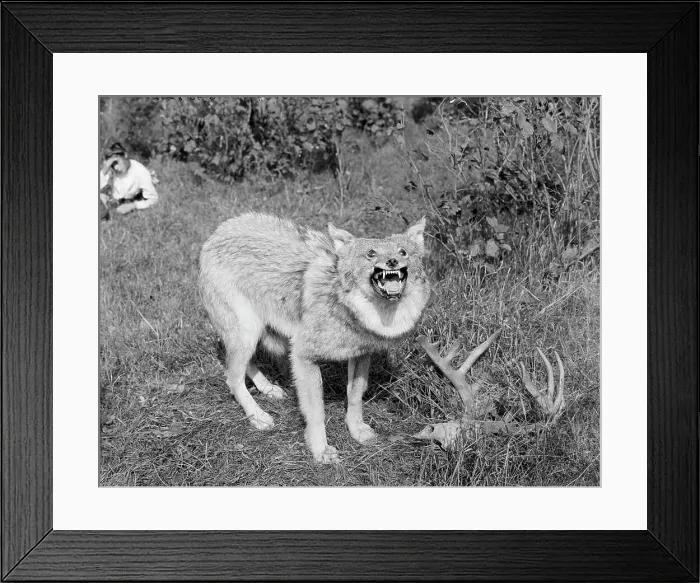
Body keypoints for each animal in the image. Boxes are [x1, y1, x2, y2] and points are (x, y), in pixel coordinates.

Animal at [198, 212, 431, 463]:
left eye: (402, 251)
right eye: (371, 253)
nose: (392, 262)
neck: (345, 305)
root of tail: (217, 232)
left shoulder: (361, 354)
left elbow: (355, 396)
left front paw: (357, 431)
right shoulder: (302, 355)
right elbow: (316, 411)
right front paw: (320, 450)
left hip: (252, 334)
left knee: (242, 368)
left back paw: (268, 389)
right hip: (247, 332)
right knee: (232, 378)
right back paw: (258, 416)